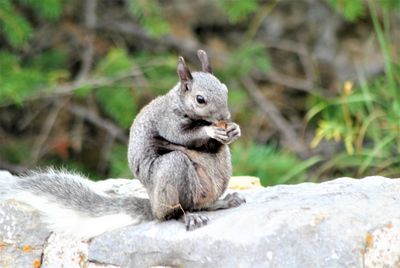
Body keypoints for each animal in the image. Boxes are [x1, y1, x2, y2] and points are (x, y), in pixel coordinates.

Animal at [0, 49, 244, 239]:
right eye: (200, 99)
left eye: (225, 90)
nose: (225, 116)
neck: (179, 104)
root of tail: (152, 205)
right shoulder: (166, 121)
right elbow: (182, 136)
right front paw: (210, 130)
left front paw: (234, 130)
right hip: (172, 172)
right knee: (174, 212)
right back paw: (188, 217)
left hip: (221, 169)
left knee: (202, 202)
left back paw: (223, 201)